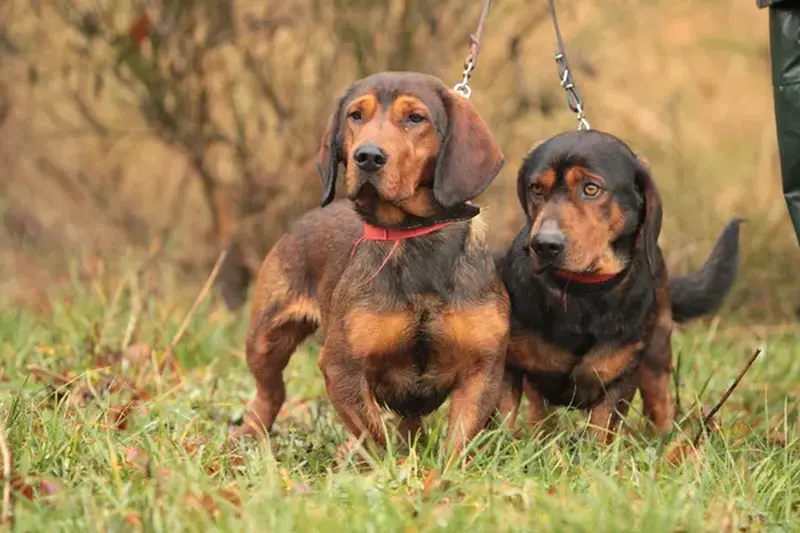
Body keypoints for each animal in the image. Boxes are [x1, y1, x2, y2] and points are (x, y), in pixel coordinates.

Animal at [228, 71, 510, 454]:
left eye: (415, 118)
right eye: (355, 115)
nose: (368, 156)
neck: (413, 234)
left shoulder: (483, 369)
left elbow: (456, 446)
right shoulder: (341, 367)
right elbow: (374, 437)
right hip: (265, 338)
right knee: (271, 392)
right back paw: (249, 432)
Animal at [496, 131, 740, 442]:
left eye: (591, 189)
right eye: (536, 188)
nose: (545, 245)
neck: (581, 289)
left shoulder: (619, 379)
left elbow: (601, 430)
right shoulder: (512, 366)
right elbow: (505, 416)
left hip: (657, 352)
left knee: (660, 402)